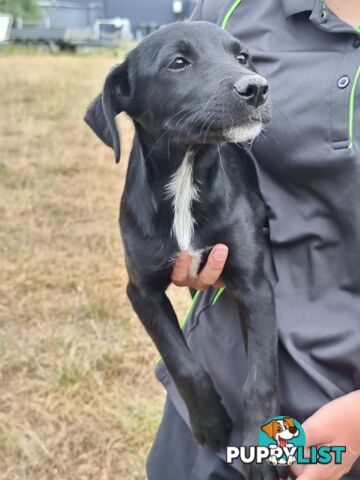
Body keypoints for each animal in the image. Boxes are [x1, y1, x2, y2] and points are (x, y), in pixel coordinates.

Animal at [86, 20, 280, 478]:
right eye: (178, 63)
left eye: (241, 57)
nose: (258, 88)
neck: (187, 178)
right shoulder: (141, 291)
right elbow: (182, 361)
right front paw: (209, 422)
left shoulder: (255, 284)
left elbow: (260, 375)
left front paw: (258, 449)